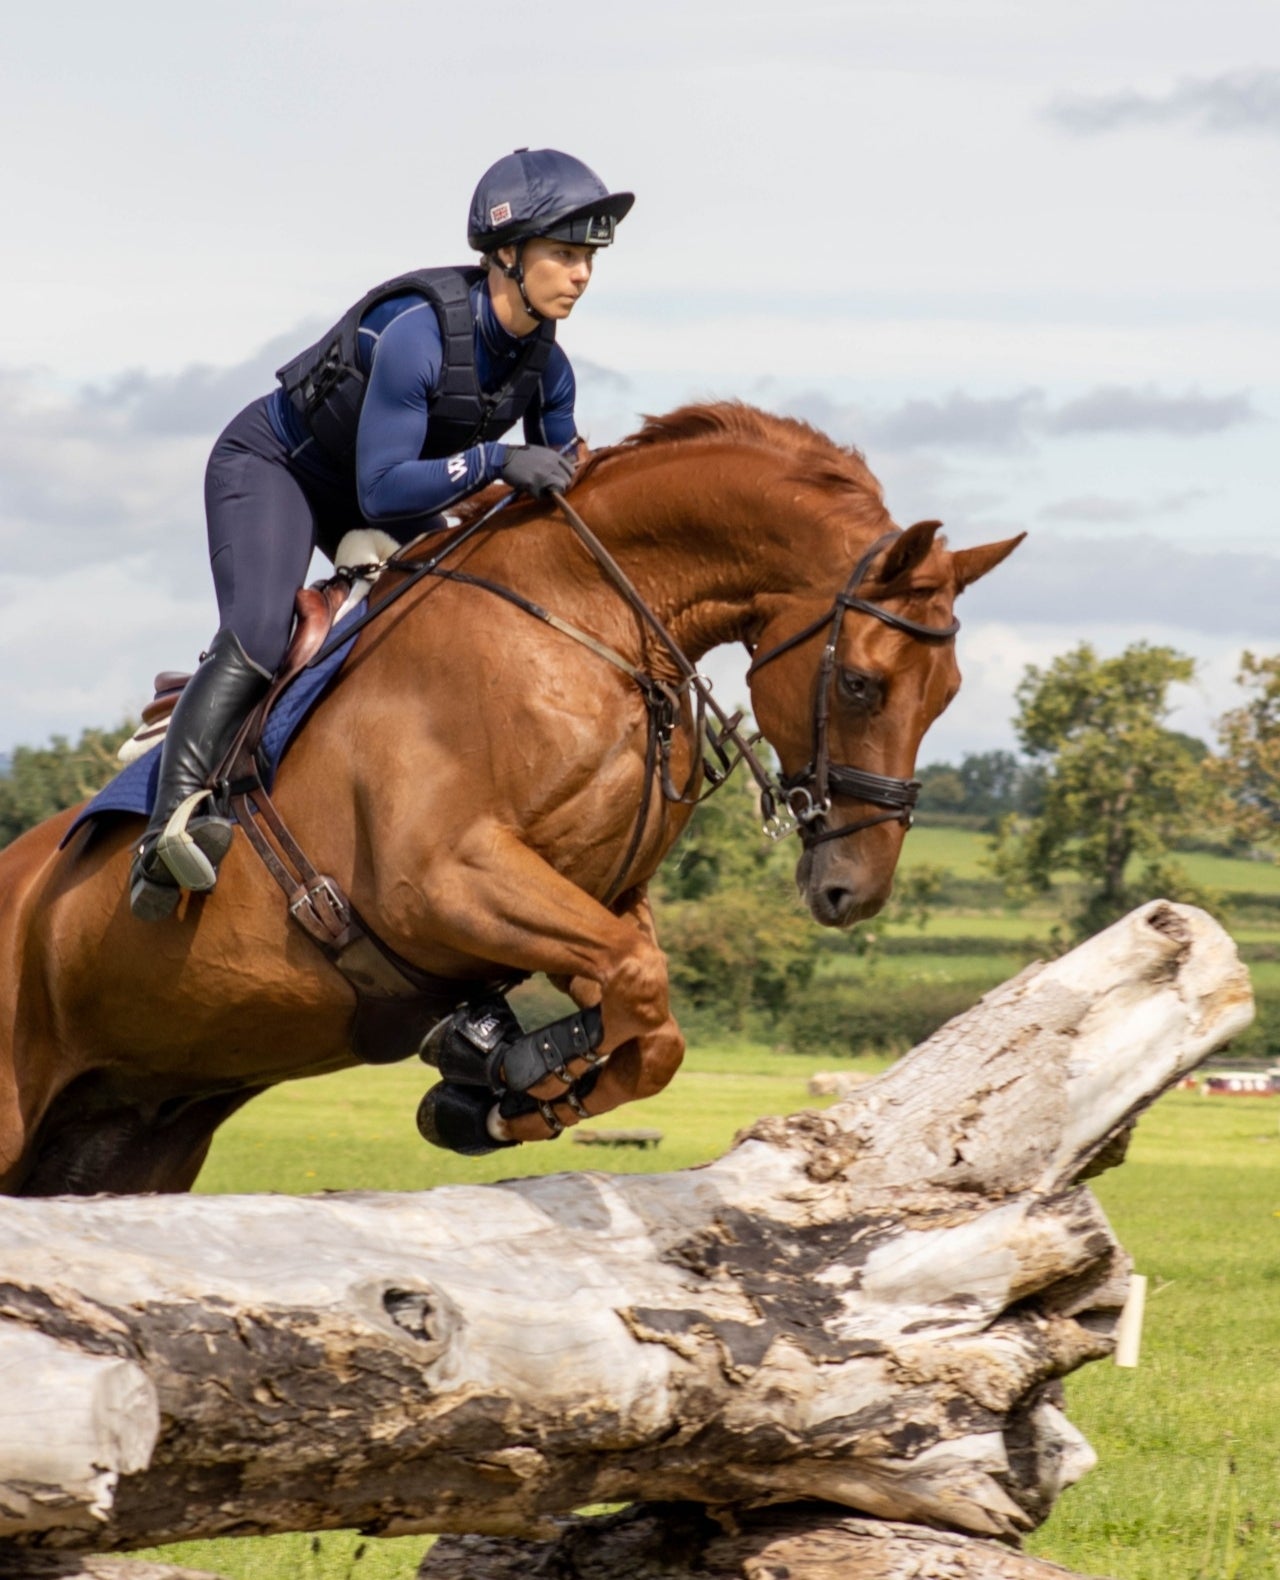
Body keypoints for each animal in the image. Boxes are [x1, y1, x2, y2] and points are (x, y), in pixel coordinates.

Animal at [0, 401, 1017, 1188]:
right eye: (862, 685)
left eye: (950, 695)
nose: (855, 890)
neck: (588, 617)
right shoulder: (442, 883)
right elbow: (635, 982)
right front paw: (501, 1067)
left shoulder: (594, 896)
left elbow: (649, 1021)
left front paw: (492, 1085)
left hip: (130, 1135)